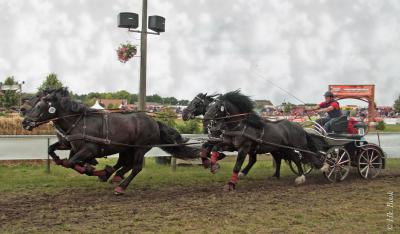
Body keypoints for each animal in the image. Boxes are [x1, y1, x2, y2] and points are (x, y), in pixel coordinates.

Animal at [21, 88, 200, 194]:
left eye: (39, 105)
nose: (24, 121)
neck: (79, 121)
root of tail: (154, 122)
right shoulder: (70, 144)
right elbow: (53, 150)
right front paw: (62, 160)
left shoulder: (89, 149)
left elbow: (72, 162)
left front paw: (92, 169)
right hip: (126, 148)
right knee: (125, 163)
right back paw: (113, 175)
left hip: (140, 148)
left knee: (136, 167)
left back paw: (120, 186)